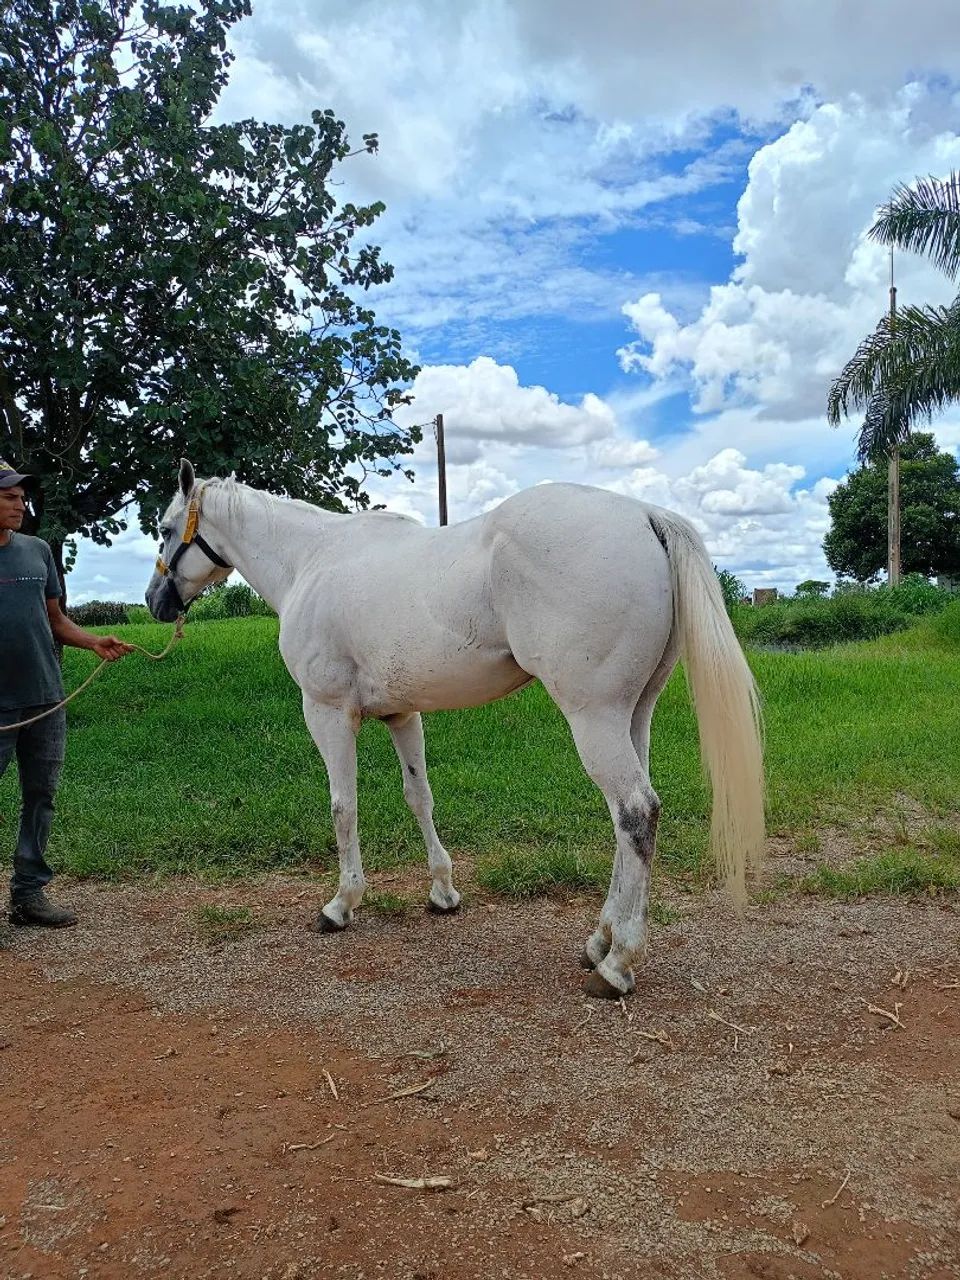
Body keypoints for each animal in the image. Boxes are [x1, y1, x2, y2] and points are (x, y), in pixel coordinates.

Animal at [146, 458, 764, 998]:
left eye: (166, 528)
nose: (154, 602)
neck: (310, 560)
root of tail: (645, 515)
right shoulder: (402, 714)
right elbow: (419, 796)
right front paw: (442, 891)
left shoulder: (326, 712)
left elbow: (343, 806)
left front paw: (341, 904)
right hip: (634, 714)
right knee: (629, 821)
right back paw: (600, 942)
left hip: (596, 717)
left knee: (635, 812)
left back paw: (617, 965)